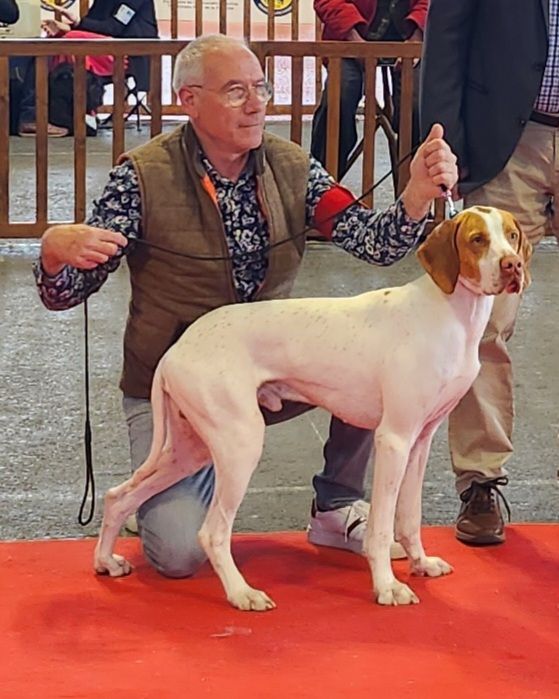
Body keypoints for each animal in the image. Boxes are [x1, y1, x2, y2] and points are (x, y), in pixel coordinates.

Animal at [94, 205, 532, 608]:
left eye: (512, 235)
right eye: (477, 240)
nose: (513, 264)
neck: (451, 315)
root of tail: (176, 349)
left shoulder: (420, 440)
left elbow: (409, 517)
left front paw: (420, 563)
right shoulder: (394, 439)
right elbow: (381, 527)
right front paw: (387, 586)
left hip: (192, 447)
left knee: (119, 496)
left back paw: (106, 562)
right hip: (239, 444)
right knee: (211, 532)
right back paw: (242, 593)